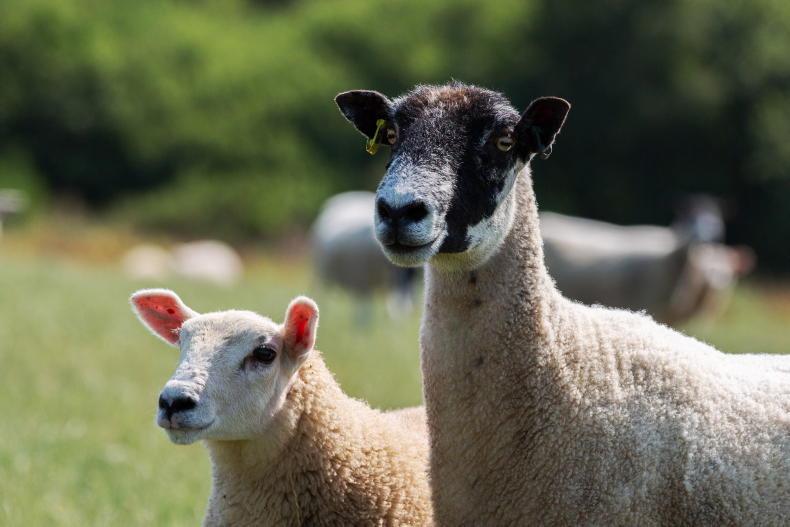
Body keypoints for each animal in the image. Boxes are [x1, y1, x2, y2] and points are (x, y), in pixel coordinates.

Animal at [311, 191, 418, 319]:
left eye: (414, 274)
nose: (404, 310)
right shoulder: (363, 281)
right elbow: (364, 313)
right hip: (320, 273)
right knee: (321, 297)